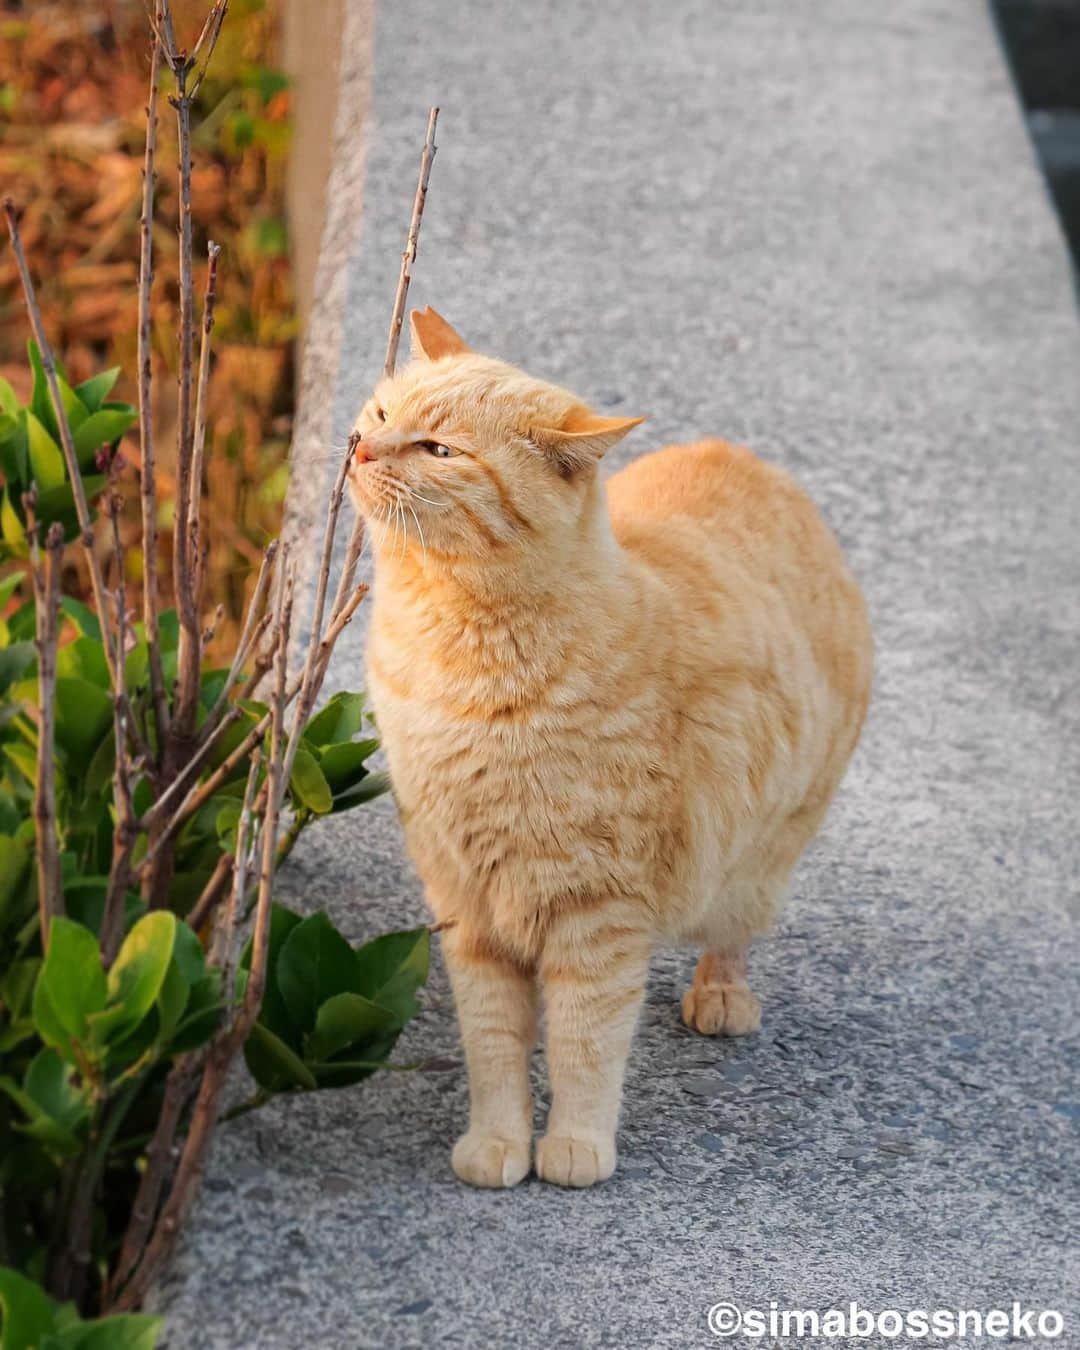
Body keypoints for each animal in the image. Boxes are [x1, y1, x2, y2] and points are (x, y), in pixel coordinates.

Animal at [351, 309, 874, 1193]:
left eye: (439, 450)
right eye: (385, 414)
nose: (358, 446)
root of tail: (749, 459)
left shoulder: (598, 909)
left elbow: (585, 1041)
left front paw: (574, 1145)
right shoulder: (465, 899)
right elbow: (492, 1041)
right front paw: (499, 1140)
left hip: (758, 861)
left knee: (732, 933)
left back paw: (721, 996)